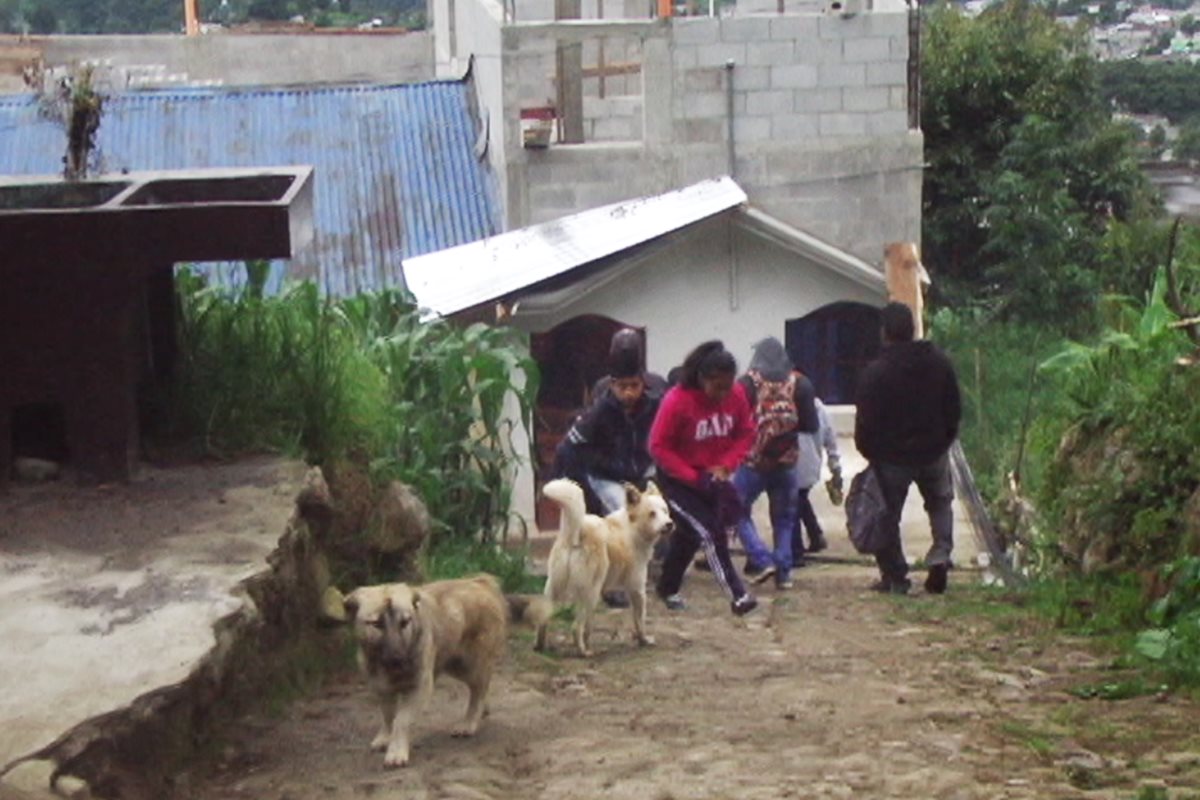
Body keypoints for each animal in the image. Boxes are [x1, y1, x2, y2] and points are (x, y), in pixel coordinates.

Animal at [537, 482, 676, 657]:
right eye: (652, 514)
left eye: (665, 511)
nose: (669, 524)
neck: (632, 527)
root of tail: (576, 533)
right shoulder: (637, 589)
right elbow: (640, 620)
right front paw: (644, 640)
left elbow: (589, 627)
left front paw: (589, 641)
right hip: (590, 593)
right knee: (576, 627)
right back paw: (583, 652)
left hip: (556, 589)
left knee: (544, 621)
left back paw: (541, 647)